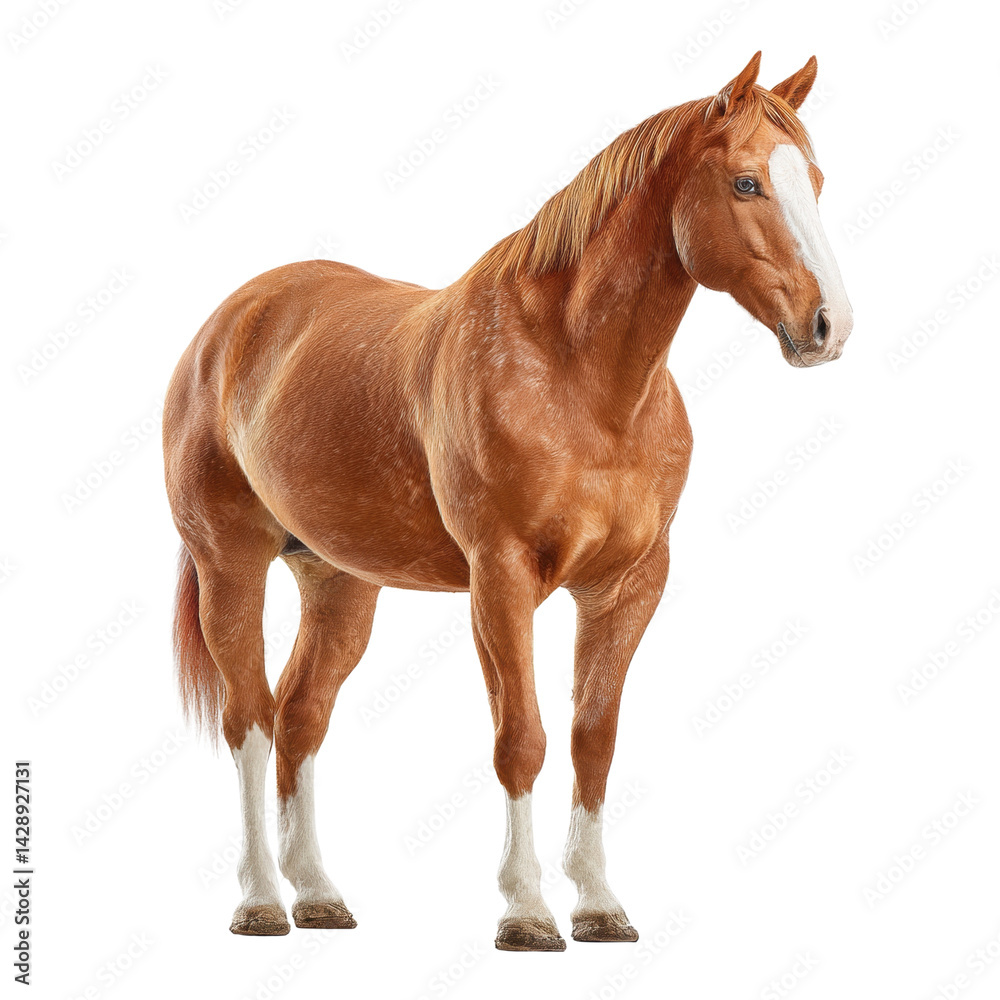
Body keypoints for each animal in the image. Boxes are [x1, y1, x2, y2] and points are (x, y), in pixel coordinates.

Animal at [163, 52, 852, 951]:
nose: (828, 326)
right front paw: (526, 911)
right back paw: (259, 902)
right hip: (231, 566)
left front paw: (598, 904)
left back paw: (317, 893)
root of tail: (231, 323)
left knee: (299, 717)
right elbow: (520, 738)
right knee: (247, 719)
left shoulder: (628, 586)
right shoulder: (501, 578)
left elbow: (593, 739)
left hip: (339, 582)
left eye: (814, 179)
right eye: (746, 183)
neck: (579, 379)